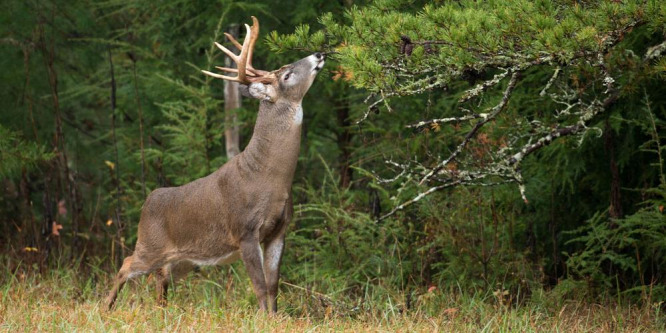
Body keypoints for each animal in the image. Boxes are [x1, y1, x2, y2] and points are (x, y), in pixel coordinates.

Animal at [105, 15, 326, 312]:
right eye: (287, 75)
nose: (319, 53)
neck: (269, 177)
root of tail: (148, 201)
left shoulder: (280, 231)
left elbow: (273, 287)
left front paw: (277, 317)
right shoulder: (245, 230)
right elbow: (259, 287)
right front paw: (264, 318)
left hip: (184, 259)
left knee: (161, 277)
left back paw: (162, 310)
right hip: (150, 244)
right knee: (126, 265)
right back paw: (105, 307)